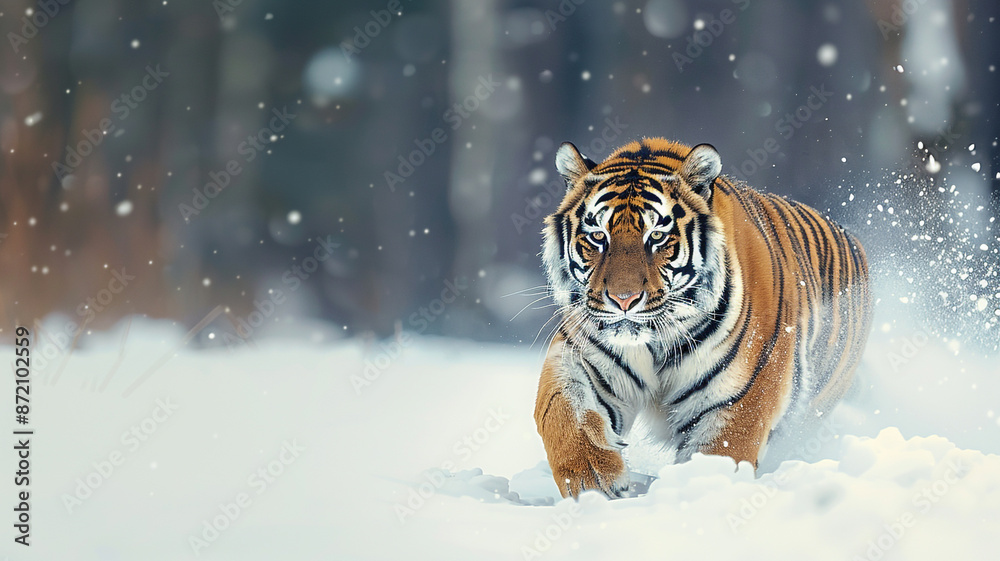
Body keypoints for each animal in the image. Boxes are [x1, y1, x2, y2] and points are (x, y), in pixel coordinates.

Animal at [534, 137, 872, 498]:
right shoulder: (582, 356)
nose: (623, 300)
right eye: (598, 236)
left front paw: (699, 489)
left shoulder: (741, 395)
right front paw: (594, 479)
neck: (657, 340)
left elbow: (721, 453)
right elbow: (565, 410)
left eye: (657, 237)